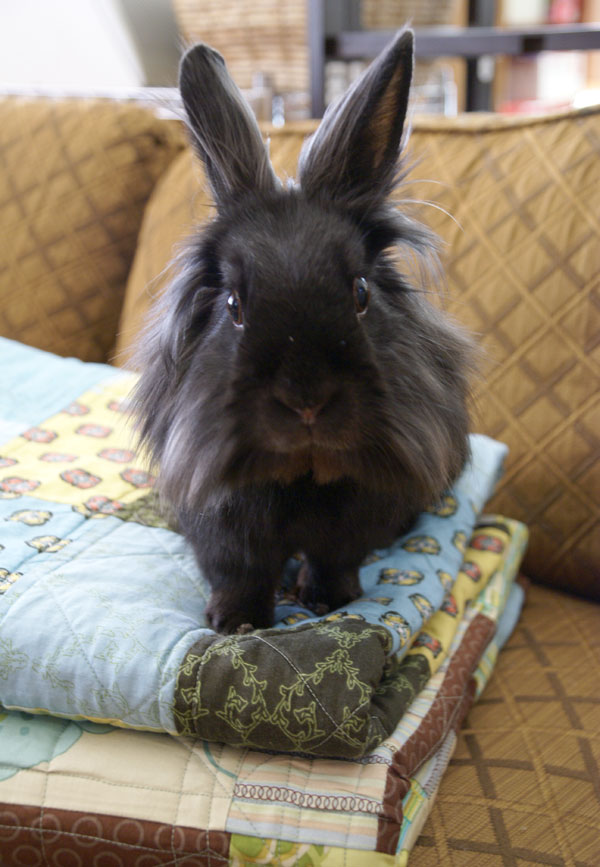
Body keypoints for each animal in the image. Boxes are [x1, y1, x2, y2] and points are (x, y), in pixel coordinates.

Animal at [132, 30, 474, 636]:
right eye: (234, 305)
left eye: (360, 293)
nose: (307, 402)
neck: (303, 476)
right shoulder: (223, 529)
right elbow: (238, 572)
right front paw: (237, 624)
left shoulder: (355, 523)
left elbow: (334, 557)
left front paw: (327, 602)